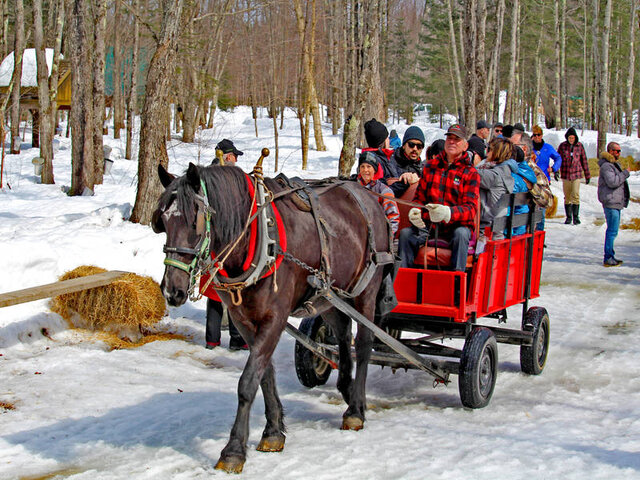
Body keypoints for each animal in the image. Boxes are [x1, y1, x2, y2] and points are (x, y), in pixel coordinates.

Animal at [152, 158, 394, 473]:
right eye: (163, 222)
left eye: (195, 221)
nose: (173, 291)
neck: (258, 239)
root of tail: (367, 196)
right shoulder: (243, 319)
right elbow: (264, 374)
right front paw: (273, 432)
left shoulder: (275, 317)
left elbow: (247, 382)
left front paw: (233, 450)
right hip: (330, 296)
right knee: (342, 336)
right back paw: (347, 390)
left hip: (366, 290)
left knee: (363, 345)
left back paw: (356, 409)